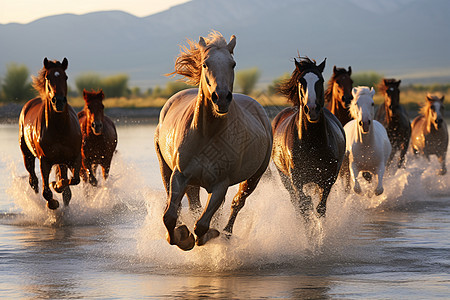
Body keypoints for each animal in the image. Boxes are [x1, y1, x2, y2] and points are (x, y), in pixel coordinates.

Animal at [18, 57, 81, 210]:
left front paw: (57, 185)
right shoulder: (44, 161)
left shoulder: (74, 158)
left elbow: (73, 180)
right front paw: (53, 200)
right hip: (27, 155)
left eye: (65, 76)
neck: (60, 129)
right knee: (33, 181)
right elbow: (46, 192)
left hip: (62, 161)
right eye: (48, 77)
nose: (58, 101)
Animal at [155, 31, 272, 251]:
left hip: (254, 178)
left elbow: (202, 225)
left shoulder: (220, 184)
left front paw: (210, 234)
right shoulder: (180, 175)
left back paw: (225, 234)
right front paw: (183, 236)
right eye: (205, 64)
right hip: (166, 168)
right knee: (187, 202)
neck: (206, 134)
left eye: (233, 64)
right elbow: (169, 216)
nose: (222, 97)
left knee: (236, 203)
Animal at [270, 55, 344, 216]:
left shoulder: (328, 179)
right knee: (295, 200)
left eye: (320, 80)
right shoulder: (296, 179)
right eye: (301, 81)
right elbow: (304, 204)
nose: (312, 109)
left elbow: (320, 207)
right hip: (284, 177)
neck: (311, 142)